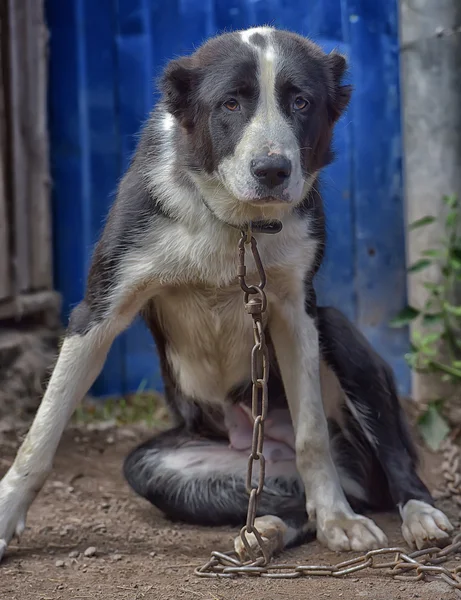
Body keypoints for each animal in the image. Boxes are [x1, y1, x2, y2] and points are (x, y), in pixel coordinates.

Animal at [0, 27, 452, 564]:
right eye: (230, 104)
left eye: (301, 101)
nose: (272, 170)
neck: (237, 223)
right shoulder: (98, 310)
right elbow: (41, 432)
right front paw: (6, 513)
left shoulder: (296, 313)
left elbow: (312, 434)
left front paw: (337, 518)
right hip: (162, 469)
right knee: (280, 499)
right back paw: (268, 531)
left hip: (336, 331)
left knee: (394, 462)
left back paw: (415, 515)